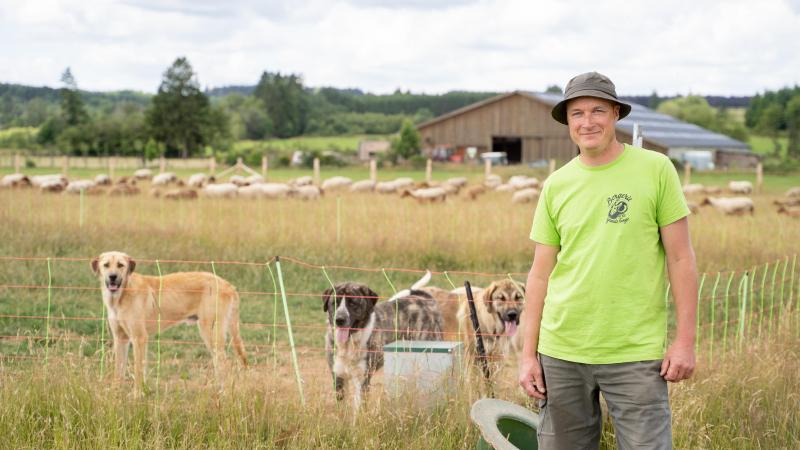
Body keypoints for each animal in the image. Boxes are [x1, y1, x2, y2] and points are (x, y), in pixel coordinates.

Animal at [91, 250, 247, 390]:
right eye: (106, 265)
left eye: (120, 265)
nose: (112, 276)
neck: (122, 294)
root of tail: (228, 285)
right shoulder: (121, 338)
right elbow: (118, 371)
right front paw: (116, 395)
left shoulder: (139, 338)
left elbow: (138, 371)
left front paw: (137, 395)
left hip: (210, 333)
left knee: (225, 365)